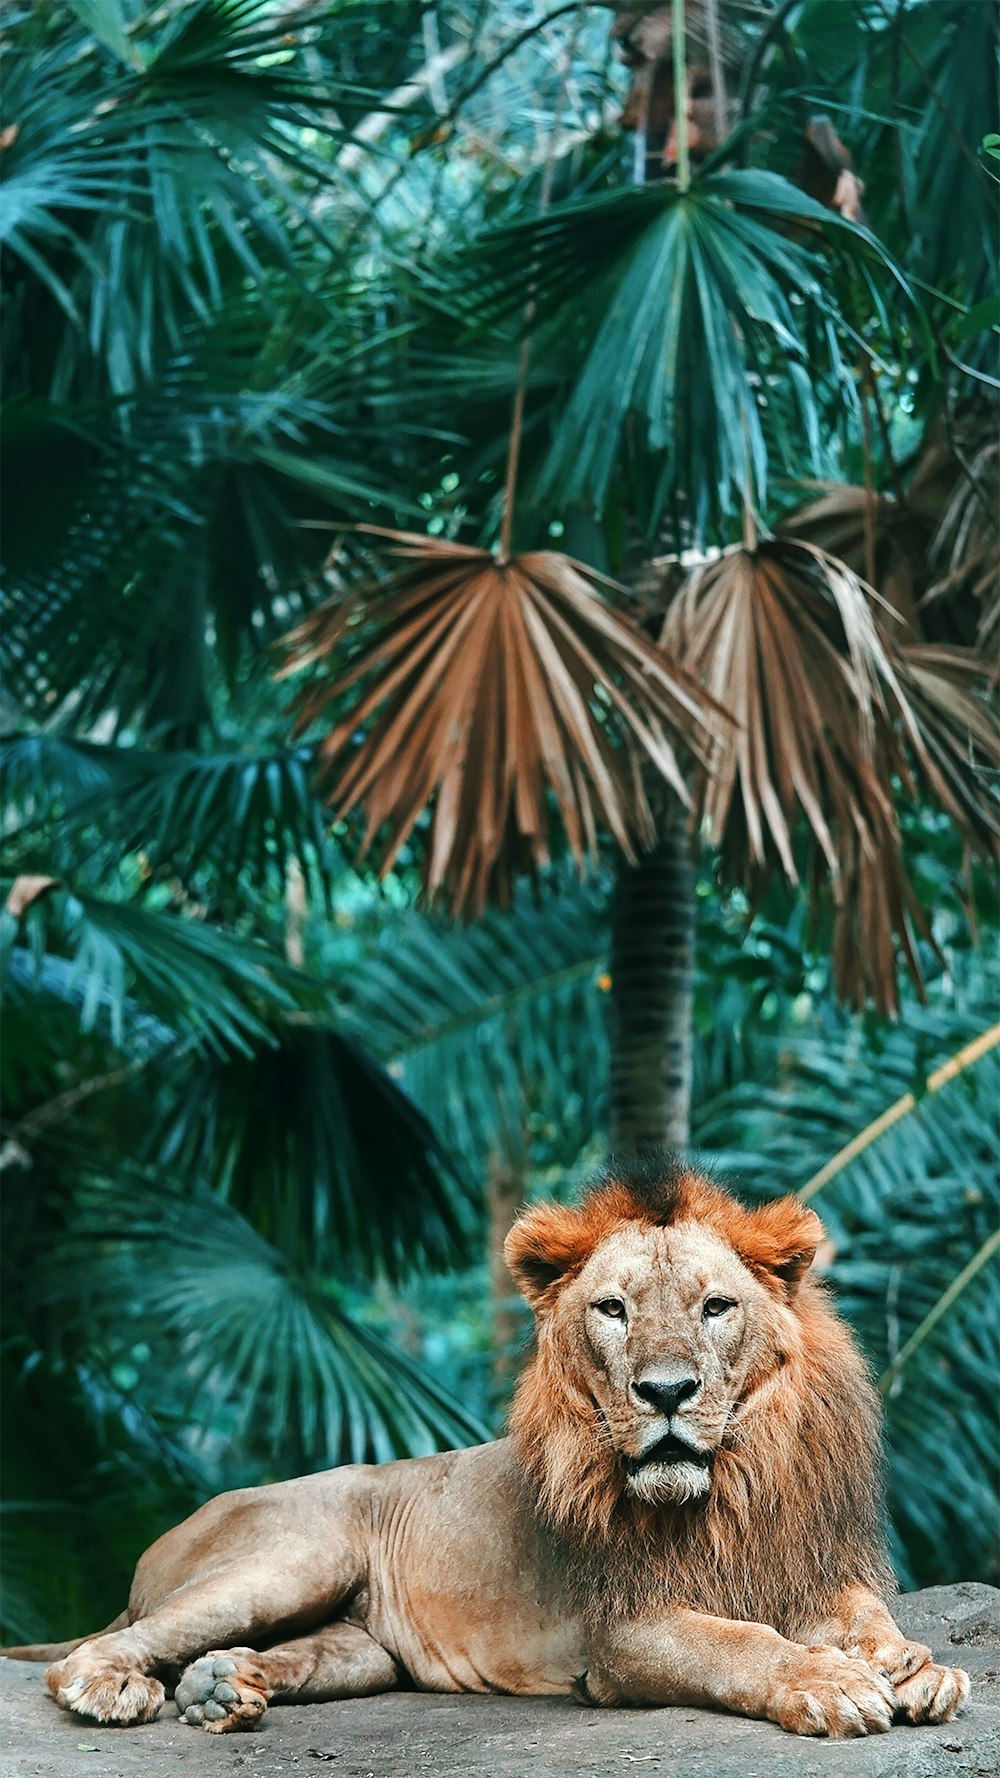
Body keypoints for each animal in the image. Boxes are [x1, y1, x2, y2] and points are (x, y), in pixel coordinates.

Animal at [0, 1159, 967, 1742]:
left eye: (716, 1307)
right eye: (612, 1309)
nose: (665, 1392)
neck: (733, 1480)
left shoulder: (812, 1566)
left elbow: (871, 1621)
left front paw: (916, 1669)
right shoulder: (625, 1631)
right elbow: (742, 1646)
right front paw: (832, 1684)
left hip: (361, 1649)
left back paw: (221, 1688)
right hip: (298, 1553)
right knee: (100, 1652)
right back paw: (119, 1688)